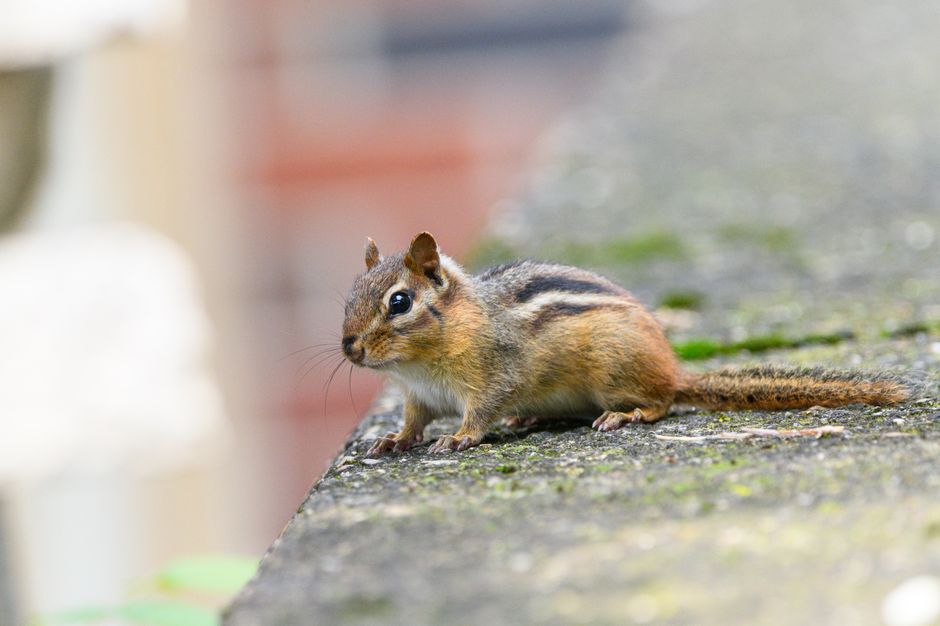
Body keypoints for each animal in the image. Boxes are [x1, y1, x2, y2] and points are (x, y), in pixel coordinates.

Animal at [340, 231, 914, 455]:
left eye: (399, 302)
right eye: (350, 294)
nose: (349, 348)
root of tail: (674, 367)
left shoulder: (492, 376)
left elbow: (481, 411)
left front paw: (459, 438)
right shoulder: (418, 397)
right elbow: (412, 421)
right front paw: (393, 440)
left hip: (613, 372)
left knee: (662, 403)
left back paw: (626, 415)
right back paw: (531, 417)